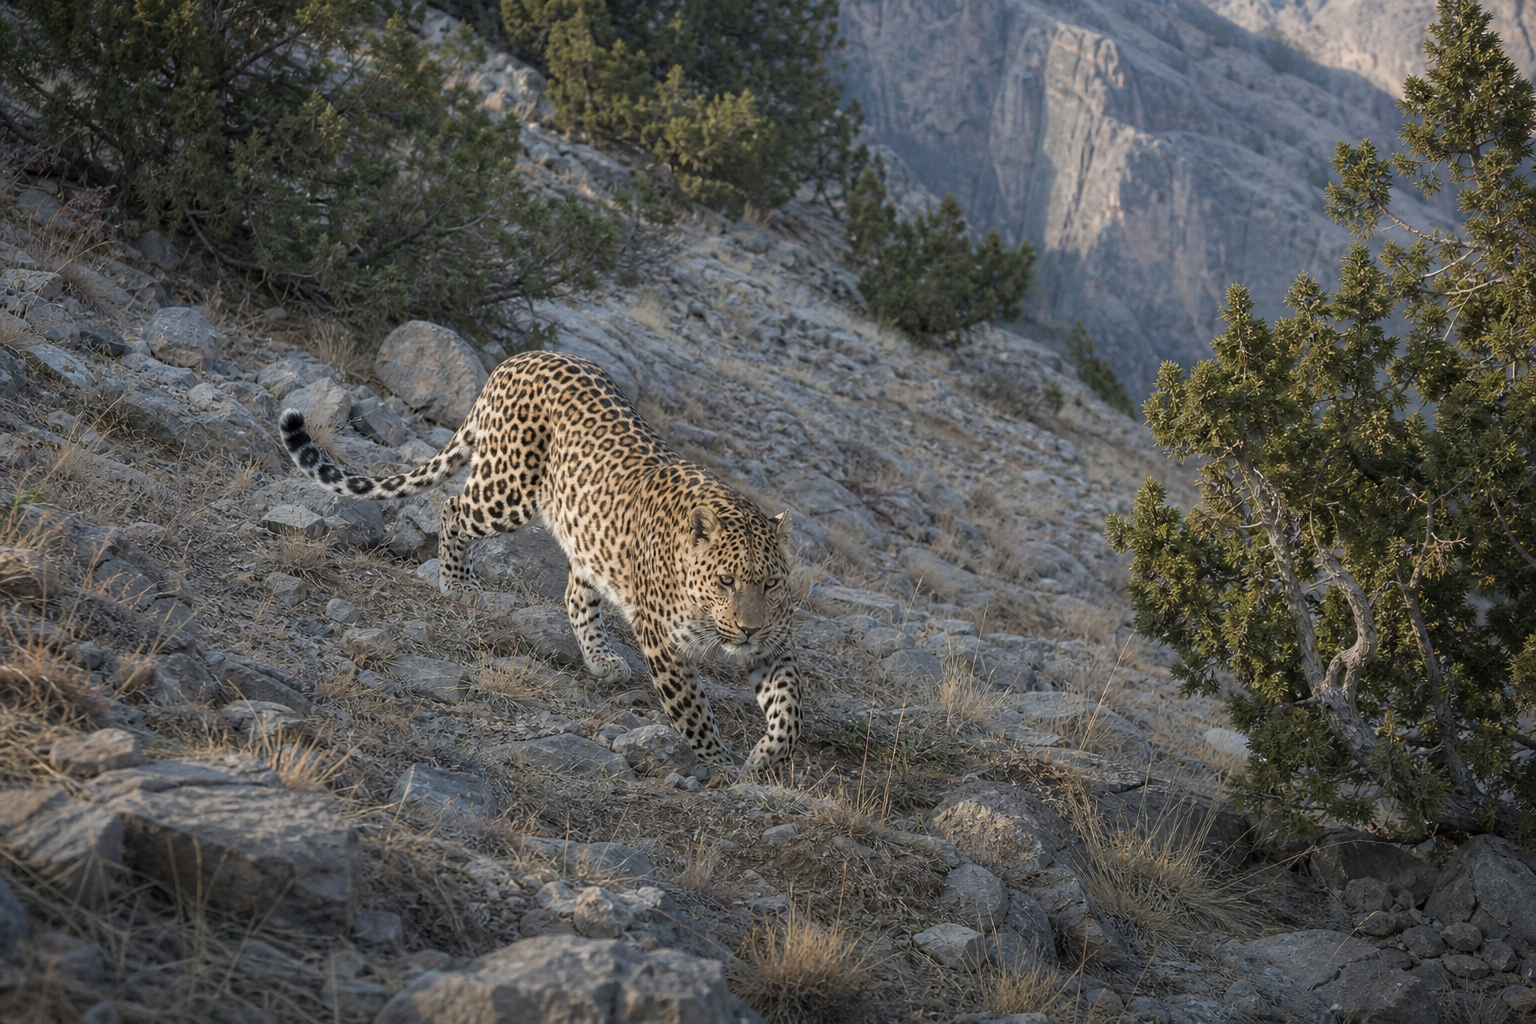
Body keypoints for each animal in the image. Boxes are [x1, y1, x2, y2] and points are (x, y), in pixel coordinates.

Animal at [278, 349, 801, 773]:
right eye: (726, 581)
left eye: (771, 585)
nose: (748, 629)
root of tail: (521, 358)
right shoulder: (662, 642)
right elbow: (691, 709)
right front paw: (720, 762)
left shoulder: (775, 641)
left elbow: (790, 704)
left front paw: (766, 754)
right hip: (506, 489)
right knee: (453, 507)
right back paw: (457, 583)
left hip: (582, 535)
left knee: (574, 594)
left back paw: (602, 659)